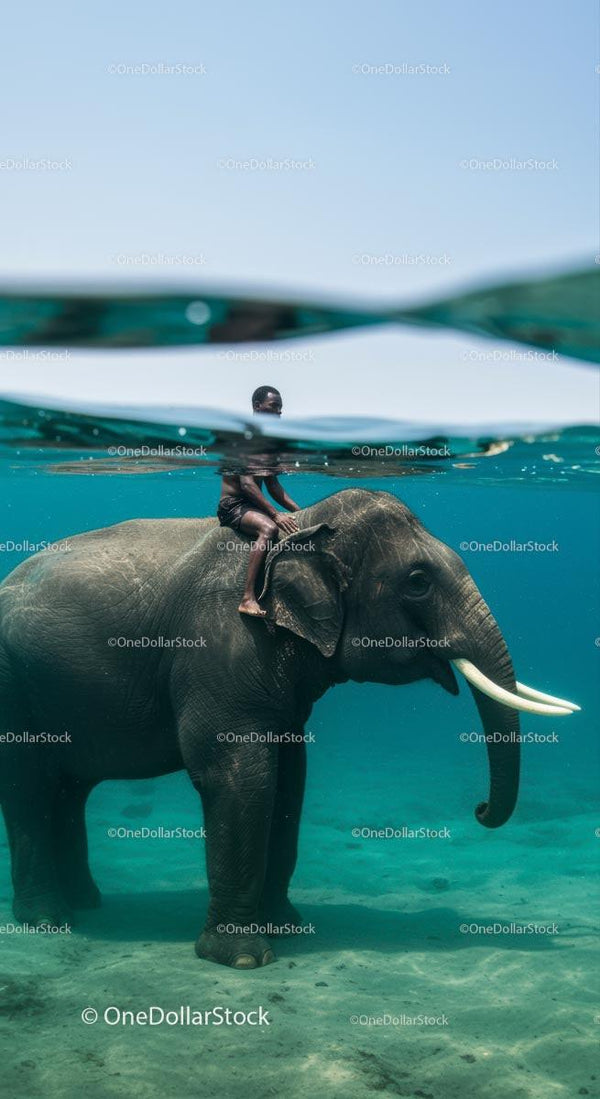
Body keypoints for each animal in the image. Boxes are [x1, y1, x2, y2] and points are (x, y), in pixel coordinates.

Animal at [0, 488, 577, 969]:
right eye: (417, 582)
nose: (478, 809)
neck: (306, 526)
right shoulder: (220, 650)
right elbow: (242, 779)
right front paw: (242, 958)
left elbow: (290, 781)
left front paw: (288, 928)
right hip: (14, 693)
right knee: (28, 790)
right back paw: (49, 921)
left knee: (68, 792)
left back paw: (87, 904)